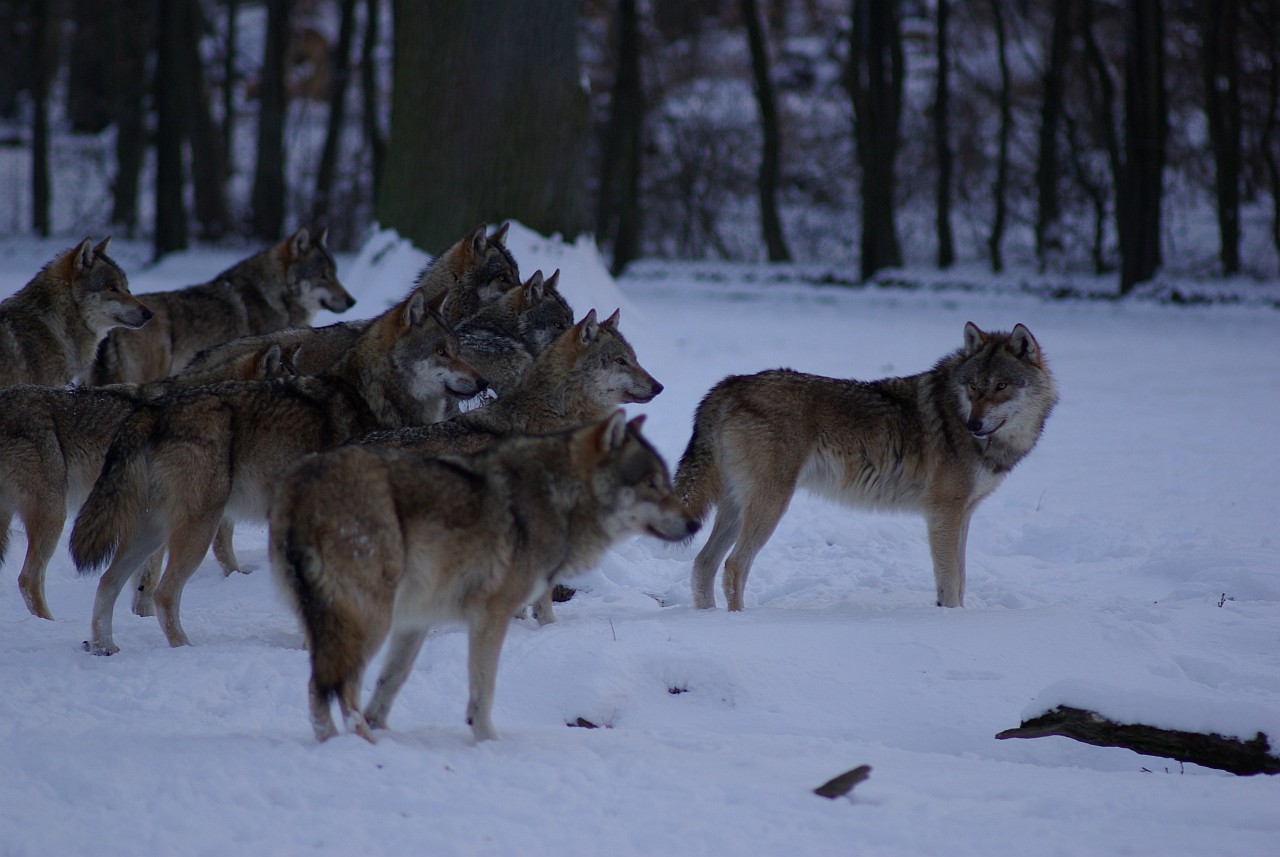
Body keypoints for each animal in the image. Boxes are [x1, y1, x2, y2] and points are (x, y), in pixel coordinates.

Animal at [69, 288, 485, 654]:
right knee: (163, 593)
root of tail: (150, 411)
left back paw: (104, 647)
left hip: (152, 530)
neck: (371, 398)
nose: (483, 380)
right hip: (196, 528)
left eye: (458, 350)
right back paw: (183, 650)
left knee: (107, 582)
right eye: (442, 352)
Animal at [270, 411, 699, 743]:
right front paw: (489, 740)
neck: (560, 499)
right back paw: (360, 747)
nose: (695, 523)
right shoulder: (490, 615)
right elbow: (483, 689)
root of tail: (302, 482)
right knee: (338, 687)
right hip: (370, 620)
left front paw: (386, 729)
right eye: (652, 484)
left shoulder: (416, 621)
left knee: (320, 689)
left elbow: (392, 682)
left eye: (666, 482)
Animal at [675, 322, 1057, 611]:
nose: (973, 424)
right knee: (734, 565)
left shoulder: (964, 514)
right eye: (974, 387)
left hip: (737, 507)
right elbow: (950, 581)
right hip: (770, 505)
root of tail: (731, 384)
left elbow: (960, 579)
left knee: (703, 564)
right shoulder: (943, 512)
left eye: (1001, 387)